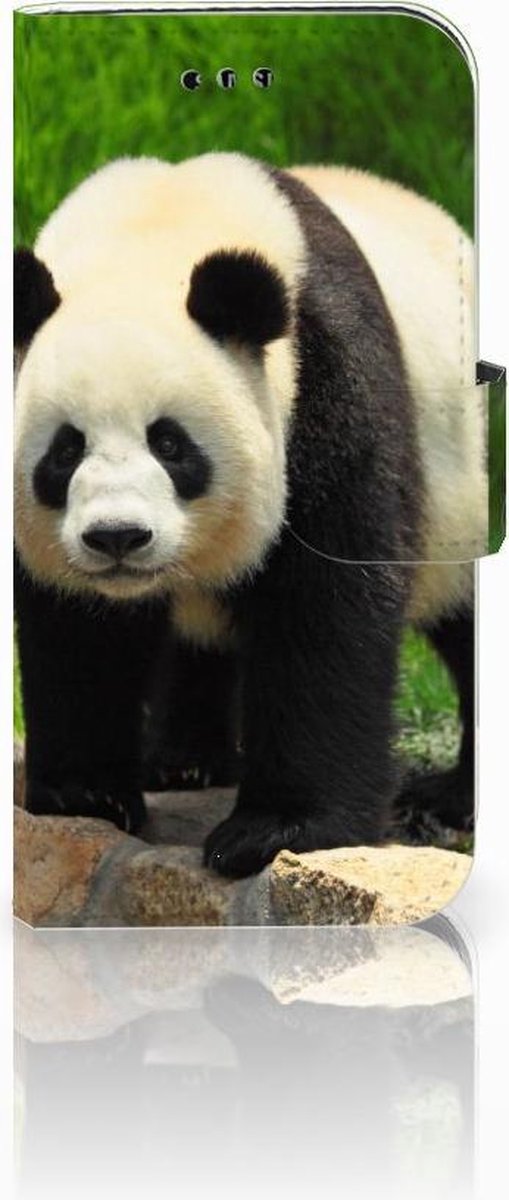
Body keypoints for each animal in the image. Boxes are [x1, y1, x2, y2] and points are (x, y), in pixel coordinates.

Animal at [14, 152, 484, 878]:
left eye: (171, 443)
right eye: (65, 451)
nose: (118, 537)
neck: (153, 235)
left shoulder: (325, 381)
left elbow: (326, 605)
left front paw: (277, 830)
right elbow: (76, 629)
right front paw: (85, 794)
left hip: (465, 490)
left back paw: (451, 799)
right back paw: (183, 761)